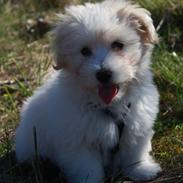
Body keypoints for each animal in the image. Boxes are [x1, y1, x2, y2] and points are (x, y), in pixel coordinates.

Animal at [15, 0, 162, 182]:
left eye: (118, 45)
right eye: (85, 51)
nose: (103, 74)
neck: (107, 106)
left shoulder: (136, 125)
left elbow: (134, 153)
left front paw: (140, 170)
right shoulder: (78, 143)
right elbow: (87, 167)